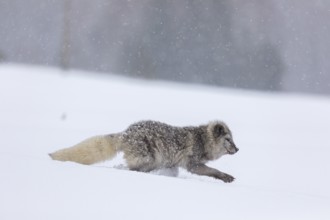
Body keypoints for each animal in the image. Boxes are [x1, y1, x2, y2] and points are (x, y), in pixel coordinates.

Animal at [49, 120, 238, 182]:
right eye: (228, 139)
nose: (238, 149)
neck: (203, 140)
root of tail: (125, 134)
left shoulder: (175, 164)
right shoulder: (193, 164)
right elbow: (213, 170)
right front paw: (225, 177)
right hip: (149, 159)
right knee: (132, 169)